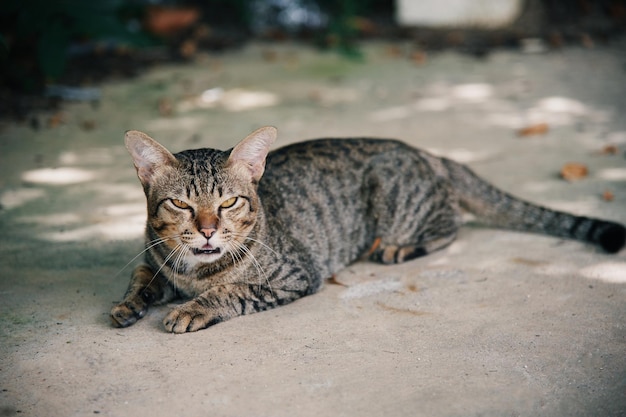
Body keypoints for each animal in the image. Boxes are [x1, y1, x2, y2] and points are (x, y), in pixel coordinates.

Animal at [109, 125, 620, 334]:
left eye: (229, 202)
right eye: (180, 204)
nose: (209, 231)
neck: (191, 272)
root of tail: (427, 152)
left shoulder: (296, 275)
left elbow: (228, 291)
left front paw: (193, 308)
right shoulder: (153, 258)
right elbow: (141, 277)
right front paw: (129, 303)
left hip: (399, 201)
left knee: (451, 223)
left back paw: (397, 247)